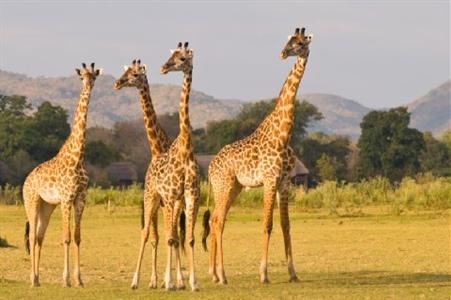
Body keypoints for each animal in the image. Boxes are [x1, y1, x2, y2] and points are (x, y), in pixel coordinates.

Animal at [22, 62, 101, 288]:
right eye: (82, 76)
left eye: (94, 76)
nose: (89, 84)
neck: (77, 156)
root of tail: (26, 181)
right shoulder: (66, 198)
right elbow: (65, 237)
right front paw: (66, 280)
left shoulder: (80, 198)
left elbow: (77, 237)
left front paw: (79, 280)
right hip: (31, 201)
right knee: (32, 237)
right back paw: (32, 280)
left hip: (47, 206)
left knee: (40, 237)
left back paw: (37, 279)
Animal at [205, 27, 314, 284]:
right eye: (288, 41)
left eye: (300, 43)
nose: (283, 53)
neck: (283, 134)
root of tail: (210, 167)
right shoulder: (269, 180)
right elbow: (267, 224)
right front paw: (263, 274)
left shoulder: (284, 182)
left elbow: (286, 225)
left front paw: (293, 273)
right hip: (224, 185)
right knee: (218, 221)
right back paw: (222, 275)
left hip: (233, 187)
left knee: (215, 220)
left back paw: (214, 273)